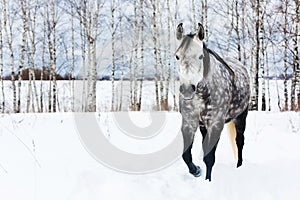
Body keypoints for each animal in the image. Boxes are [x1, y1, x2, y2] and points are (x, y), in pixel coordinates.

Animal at [176, 22, 251, 180]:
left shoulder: (216, 124)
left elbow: (209, 158)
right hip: (204, 126)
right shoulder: (189, 122)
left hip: (241, 117)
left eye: (200, 56)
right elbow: (186, 155)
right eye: (177, 56)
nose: (187, 89)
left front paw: (207, 181)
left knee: (239, 142)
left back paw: (239, 166)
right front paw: (197, 171)